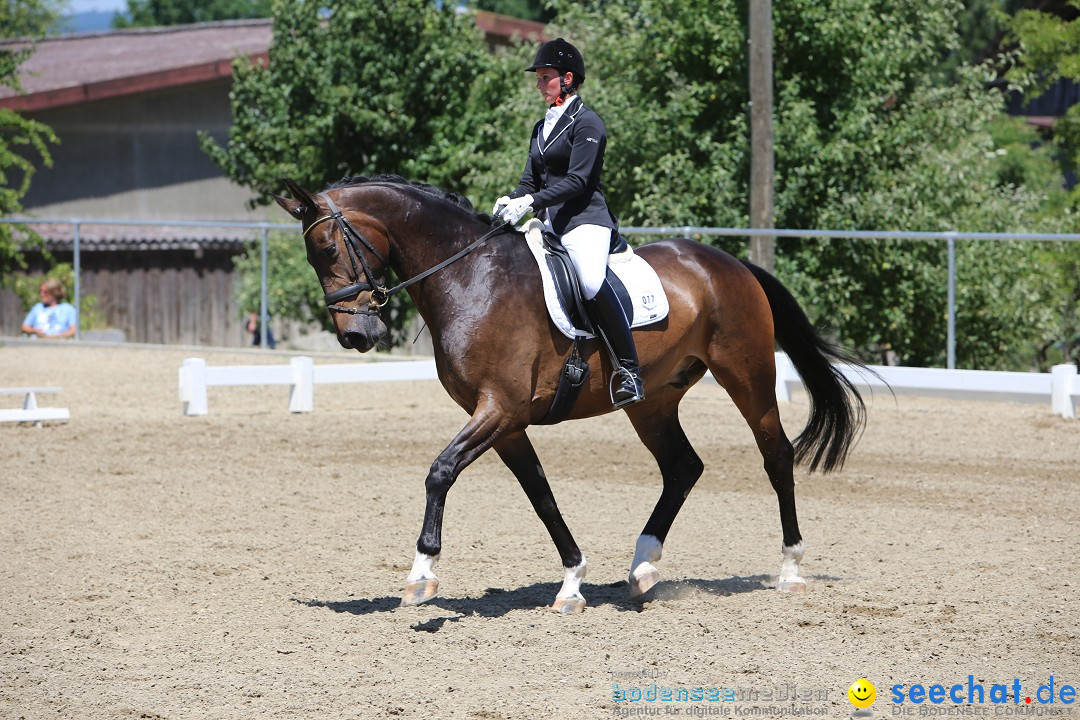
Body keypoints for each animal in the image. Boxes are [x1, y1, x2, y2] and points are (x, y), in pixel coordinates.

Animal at [276, 174, 868, 613]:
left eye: (326, 247)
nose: (356, 337)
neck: (470, 278)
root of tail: (727, 262)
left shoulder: (499, 409)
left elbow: (440, 471)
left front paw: (421, 574)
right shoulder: (505, 422)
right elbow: (541, 495)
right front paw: (571, 583)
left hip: (747, 376)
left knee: (776, 455)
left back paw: (790, 569)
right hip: (653, 401)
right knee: (683, 467)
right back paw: (642, 568)